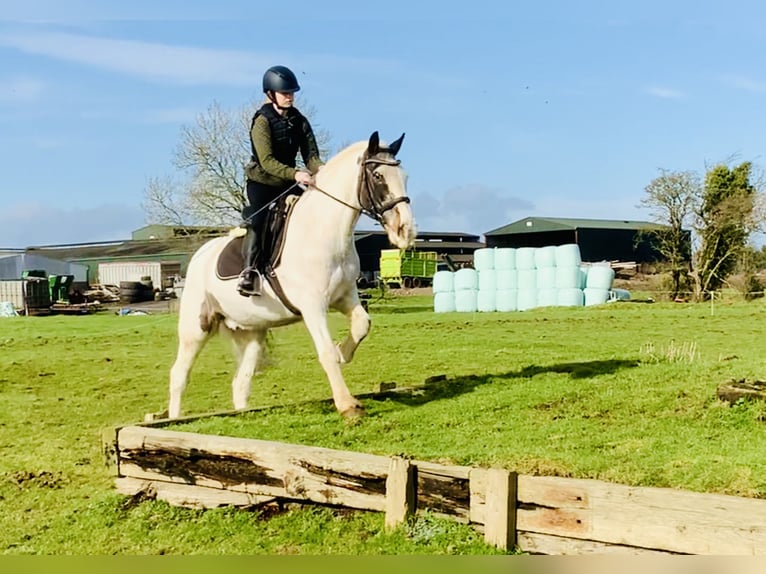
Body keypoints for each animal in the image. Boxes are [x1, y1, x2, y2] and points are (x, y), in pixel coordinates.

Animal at [170, 135, 420, 424]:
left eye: (405, 176)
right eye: (378, 176)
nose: (406, 231)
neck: (324, 231)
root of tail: (198, 257)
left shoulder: (345, 296)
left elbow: (361, 325)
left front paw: (343, 352)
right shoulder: (313, 307)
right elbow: (325, 352)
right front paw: (348, 405)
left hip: (252, 331)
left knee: (240, 382)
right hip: (196, 327)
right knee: (179, 375)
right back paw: (173, 419)